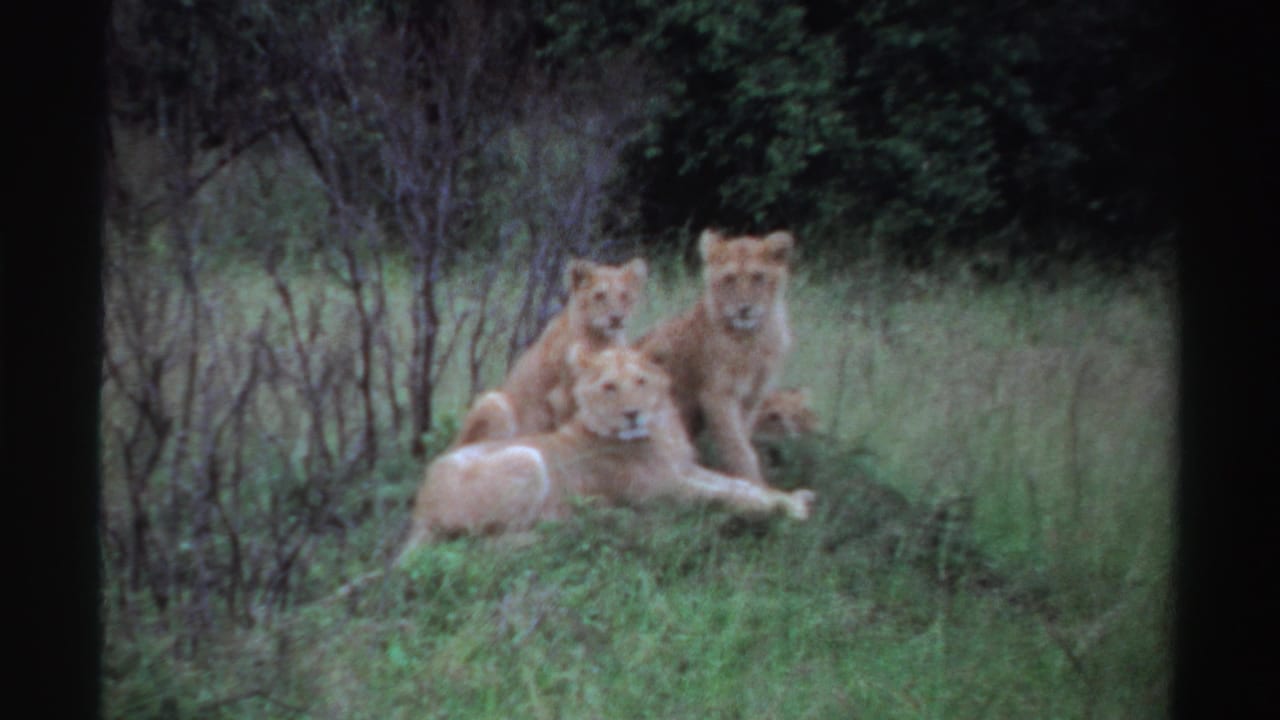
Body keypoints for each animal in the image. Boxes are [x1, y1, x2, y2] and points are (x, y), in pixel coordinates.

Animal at [398, 345, 815, 559]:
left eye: (641, 381)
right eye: (609, 387)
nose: (633, 414)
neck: (661, 429)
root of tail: (419, 507)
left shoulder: (684, 469)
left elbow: (740, 485)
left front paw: (791, 497)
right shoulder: (663, 491)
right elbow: (727, 496)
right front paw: (787, 509)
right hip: (525, 458)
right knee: (482, 542)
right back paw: (574, 525)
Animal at [452, 257, 647, 447]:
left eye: (624, 295)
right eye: (600, 296)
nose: (617, 318)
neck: (602, 338)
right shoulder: (560, 397)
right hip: (494, 402)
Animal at [637, 228, 794, 484]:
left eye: (758, 277)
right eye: (729, 279)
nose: (744, 309)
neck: (752, 337)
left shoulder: (753, 396)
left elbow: (742, 437)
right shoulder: (717, 395)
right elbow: (738, 447)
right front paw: (753, 483)